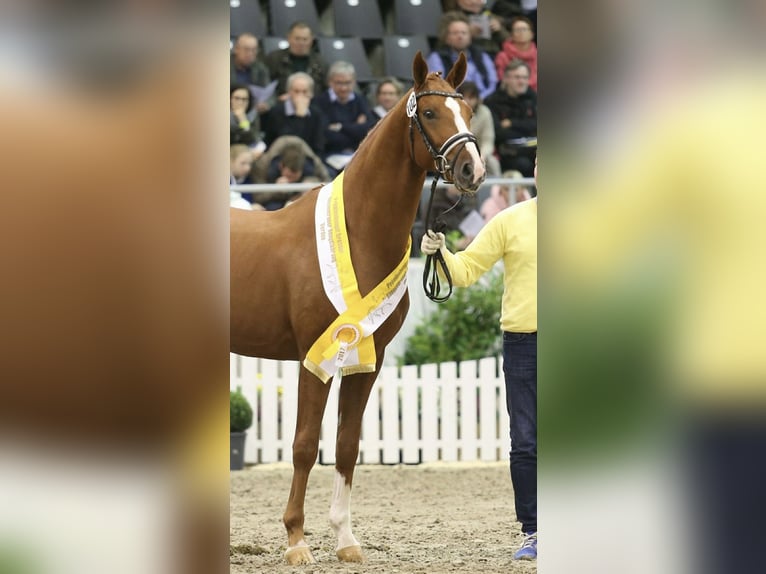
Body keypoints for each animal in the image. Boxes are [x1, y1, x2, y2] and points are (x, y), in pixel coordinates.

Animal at [230, 51, 486, 564]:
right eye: (431, 113)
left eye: (468, 111)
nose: (473, 170)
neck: (360, 234)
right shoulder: (315, 356)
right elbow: (305, 444)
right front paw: (296, 541)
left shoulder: (369, 358)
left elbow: (347, 445)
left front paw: (345, 540)